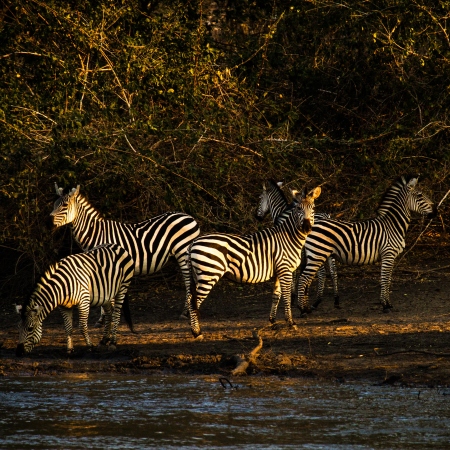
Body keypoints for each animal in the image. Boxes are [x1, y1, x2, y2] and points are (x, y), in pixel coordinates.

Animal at [49, 183, 200, 324]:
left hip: (182, 253)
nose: (49, 223)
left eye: (65, 205)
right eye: (55, 204)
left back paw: (185, 312)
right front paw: (104, 318)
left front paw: (106, 318)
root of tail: (190, 217)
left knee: (189, 282)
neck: (96, 233)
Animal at [185, 185, 320, 338]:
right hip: (209, 275)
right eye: (298, 209)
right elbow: (286, 296)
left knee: (190, 299)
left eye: (313, 208)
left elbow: (276, 296)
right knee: (194, 301)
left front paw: (272, 322)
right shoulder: (285, 270)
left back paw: (194, 329)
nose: (307, 228)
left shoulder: (279, 271)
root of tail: (193, 242)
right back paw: (197, 332)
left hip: (198, 275)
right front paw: (291, 323)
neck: (288, 237)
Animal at [255, 179, 340, 310]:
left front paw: (293, 297)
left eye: (260, 198)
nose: (257, 217)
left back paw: (317, 302)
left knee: (322, 273)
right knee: (333, 271)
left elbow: (294, 273)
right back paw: (335, 300)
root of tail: (326, 216)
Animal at [296, 174, 436, 314]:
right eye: (420, 195)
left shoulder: (391, 257)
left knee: (307, 278)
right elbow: (384, 279)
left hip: (315, 254)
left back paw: (307, 307)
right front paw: (384, 305)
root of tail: (310, 226)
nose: (436, 211)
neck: (392, 225)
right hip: (318, 254)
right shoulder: (388, 254)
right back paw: (302, 309)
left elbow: (388, 280)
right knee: (304, 278)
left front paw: (388, 304)